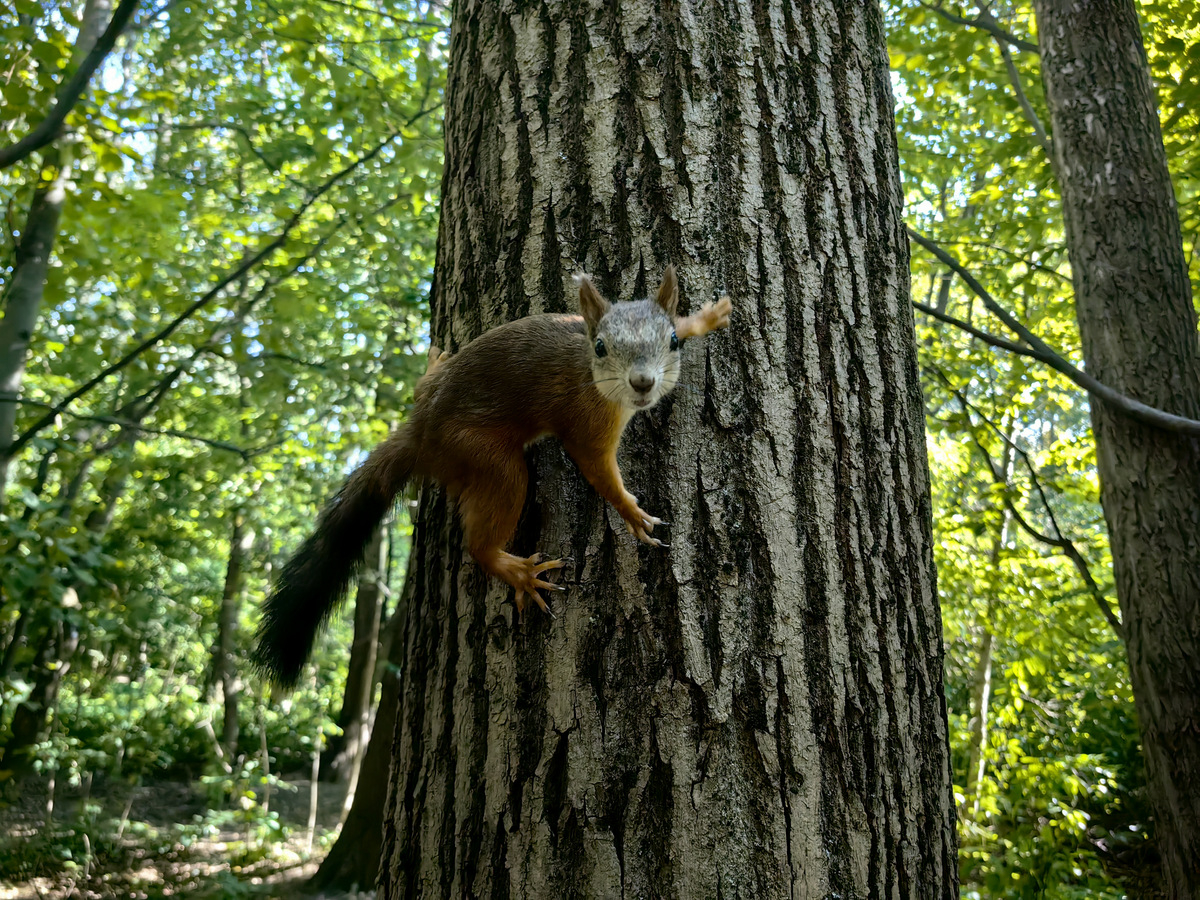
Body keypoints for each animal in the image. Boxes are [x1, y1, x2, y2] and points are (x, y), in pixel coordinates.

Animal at [253, 264, 729, 686]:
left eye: (671, 340)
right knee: (482, 537)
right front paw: (631, 513)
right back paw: (516, 571)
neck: (587, 372)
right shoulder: (585, 423)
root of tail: (422, 432)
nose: (643, 383)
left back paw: (431, 367)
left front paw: (706, 317)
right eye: (600, 348)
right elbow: (597, 470)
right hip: (487, 459)